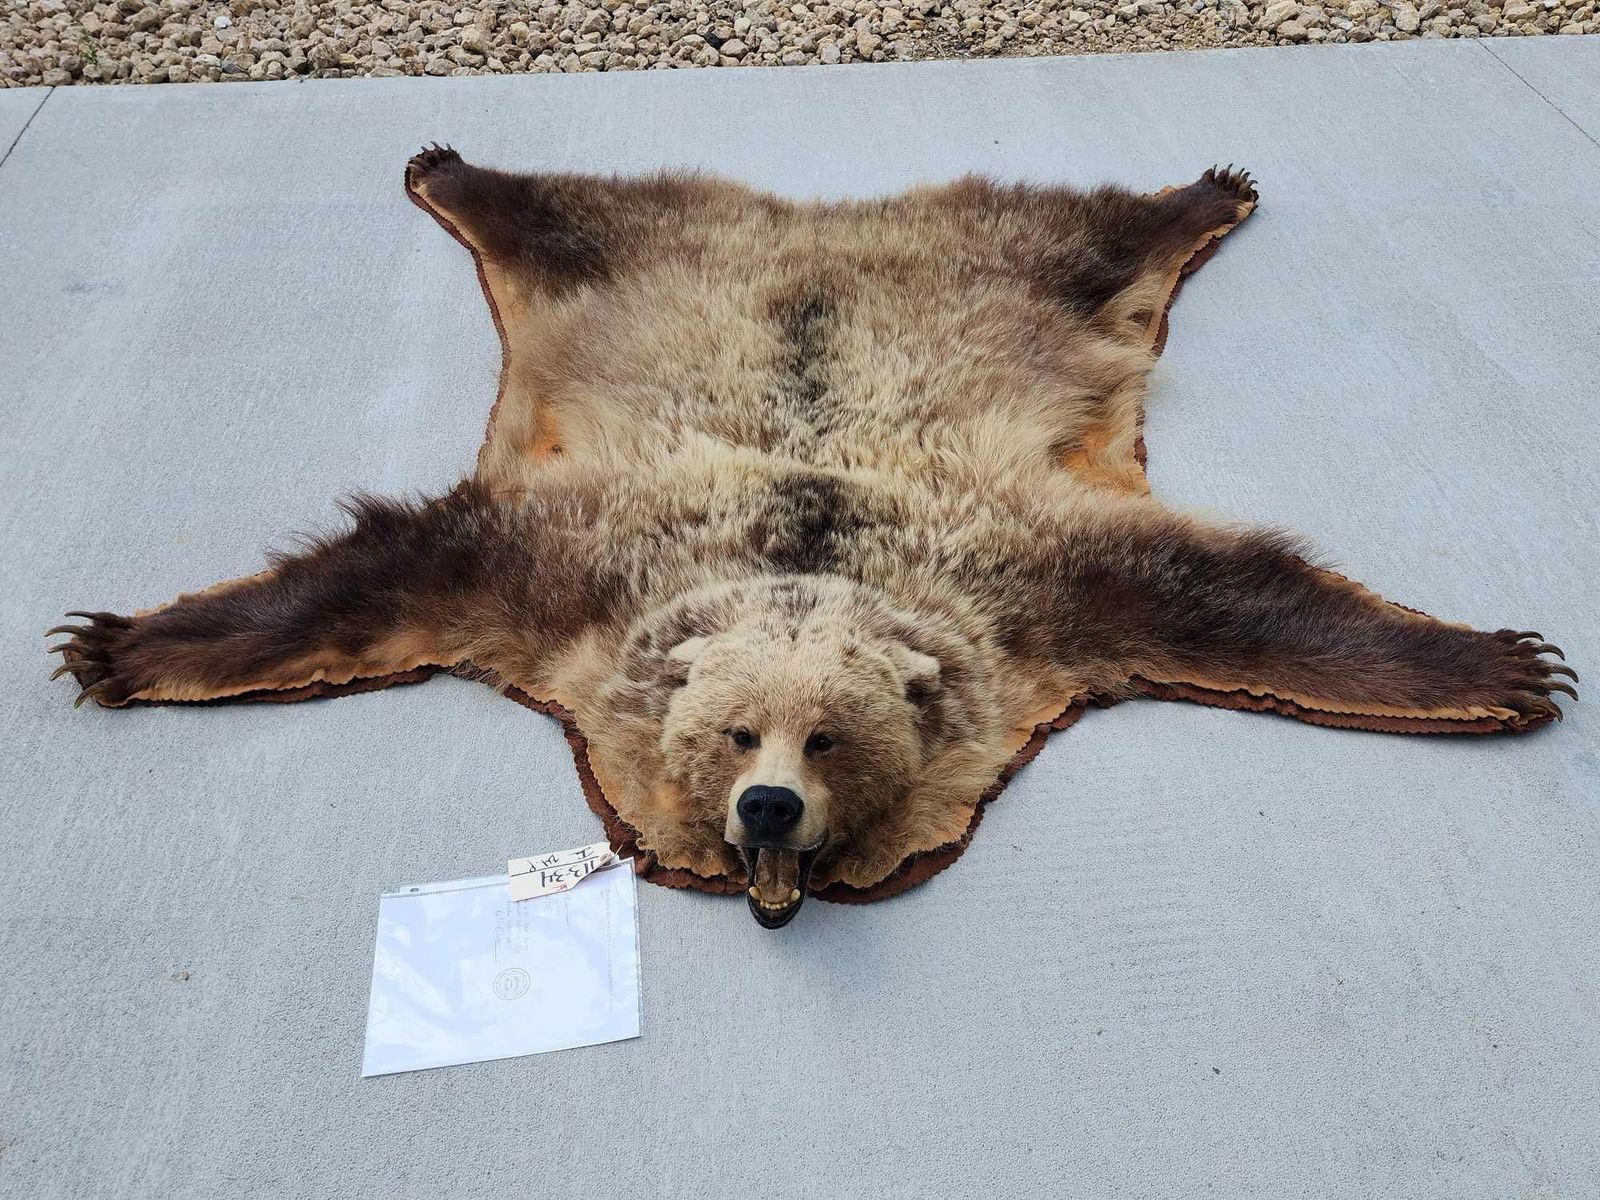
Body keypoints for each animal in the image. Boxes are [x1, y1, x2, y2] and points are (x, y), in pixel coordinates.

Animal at [49, 148, 1576, 930]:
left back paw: (1208, 189)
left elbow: (1232, 596)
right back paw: (446, 165)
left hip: (1025, 282)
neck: (806, 560)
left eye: (826, 738)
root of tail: (824, 215)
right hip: (622, 268)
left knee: (1093, 236)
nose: (767, 812)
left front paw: (1501, 665)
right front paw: (115, 641)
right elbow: (374, 575)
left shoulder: (1041, 582)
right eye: (737, 736)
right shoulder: (558, 566)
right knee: (557, 213)